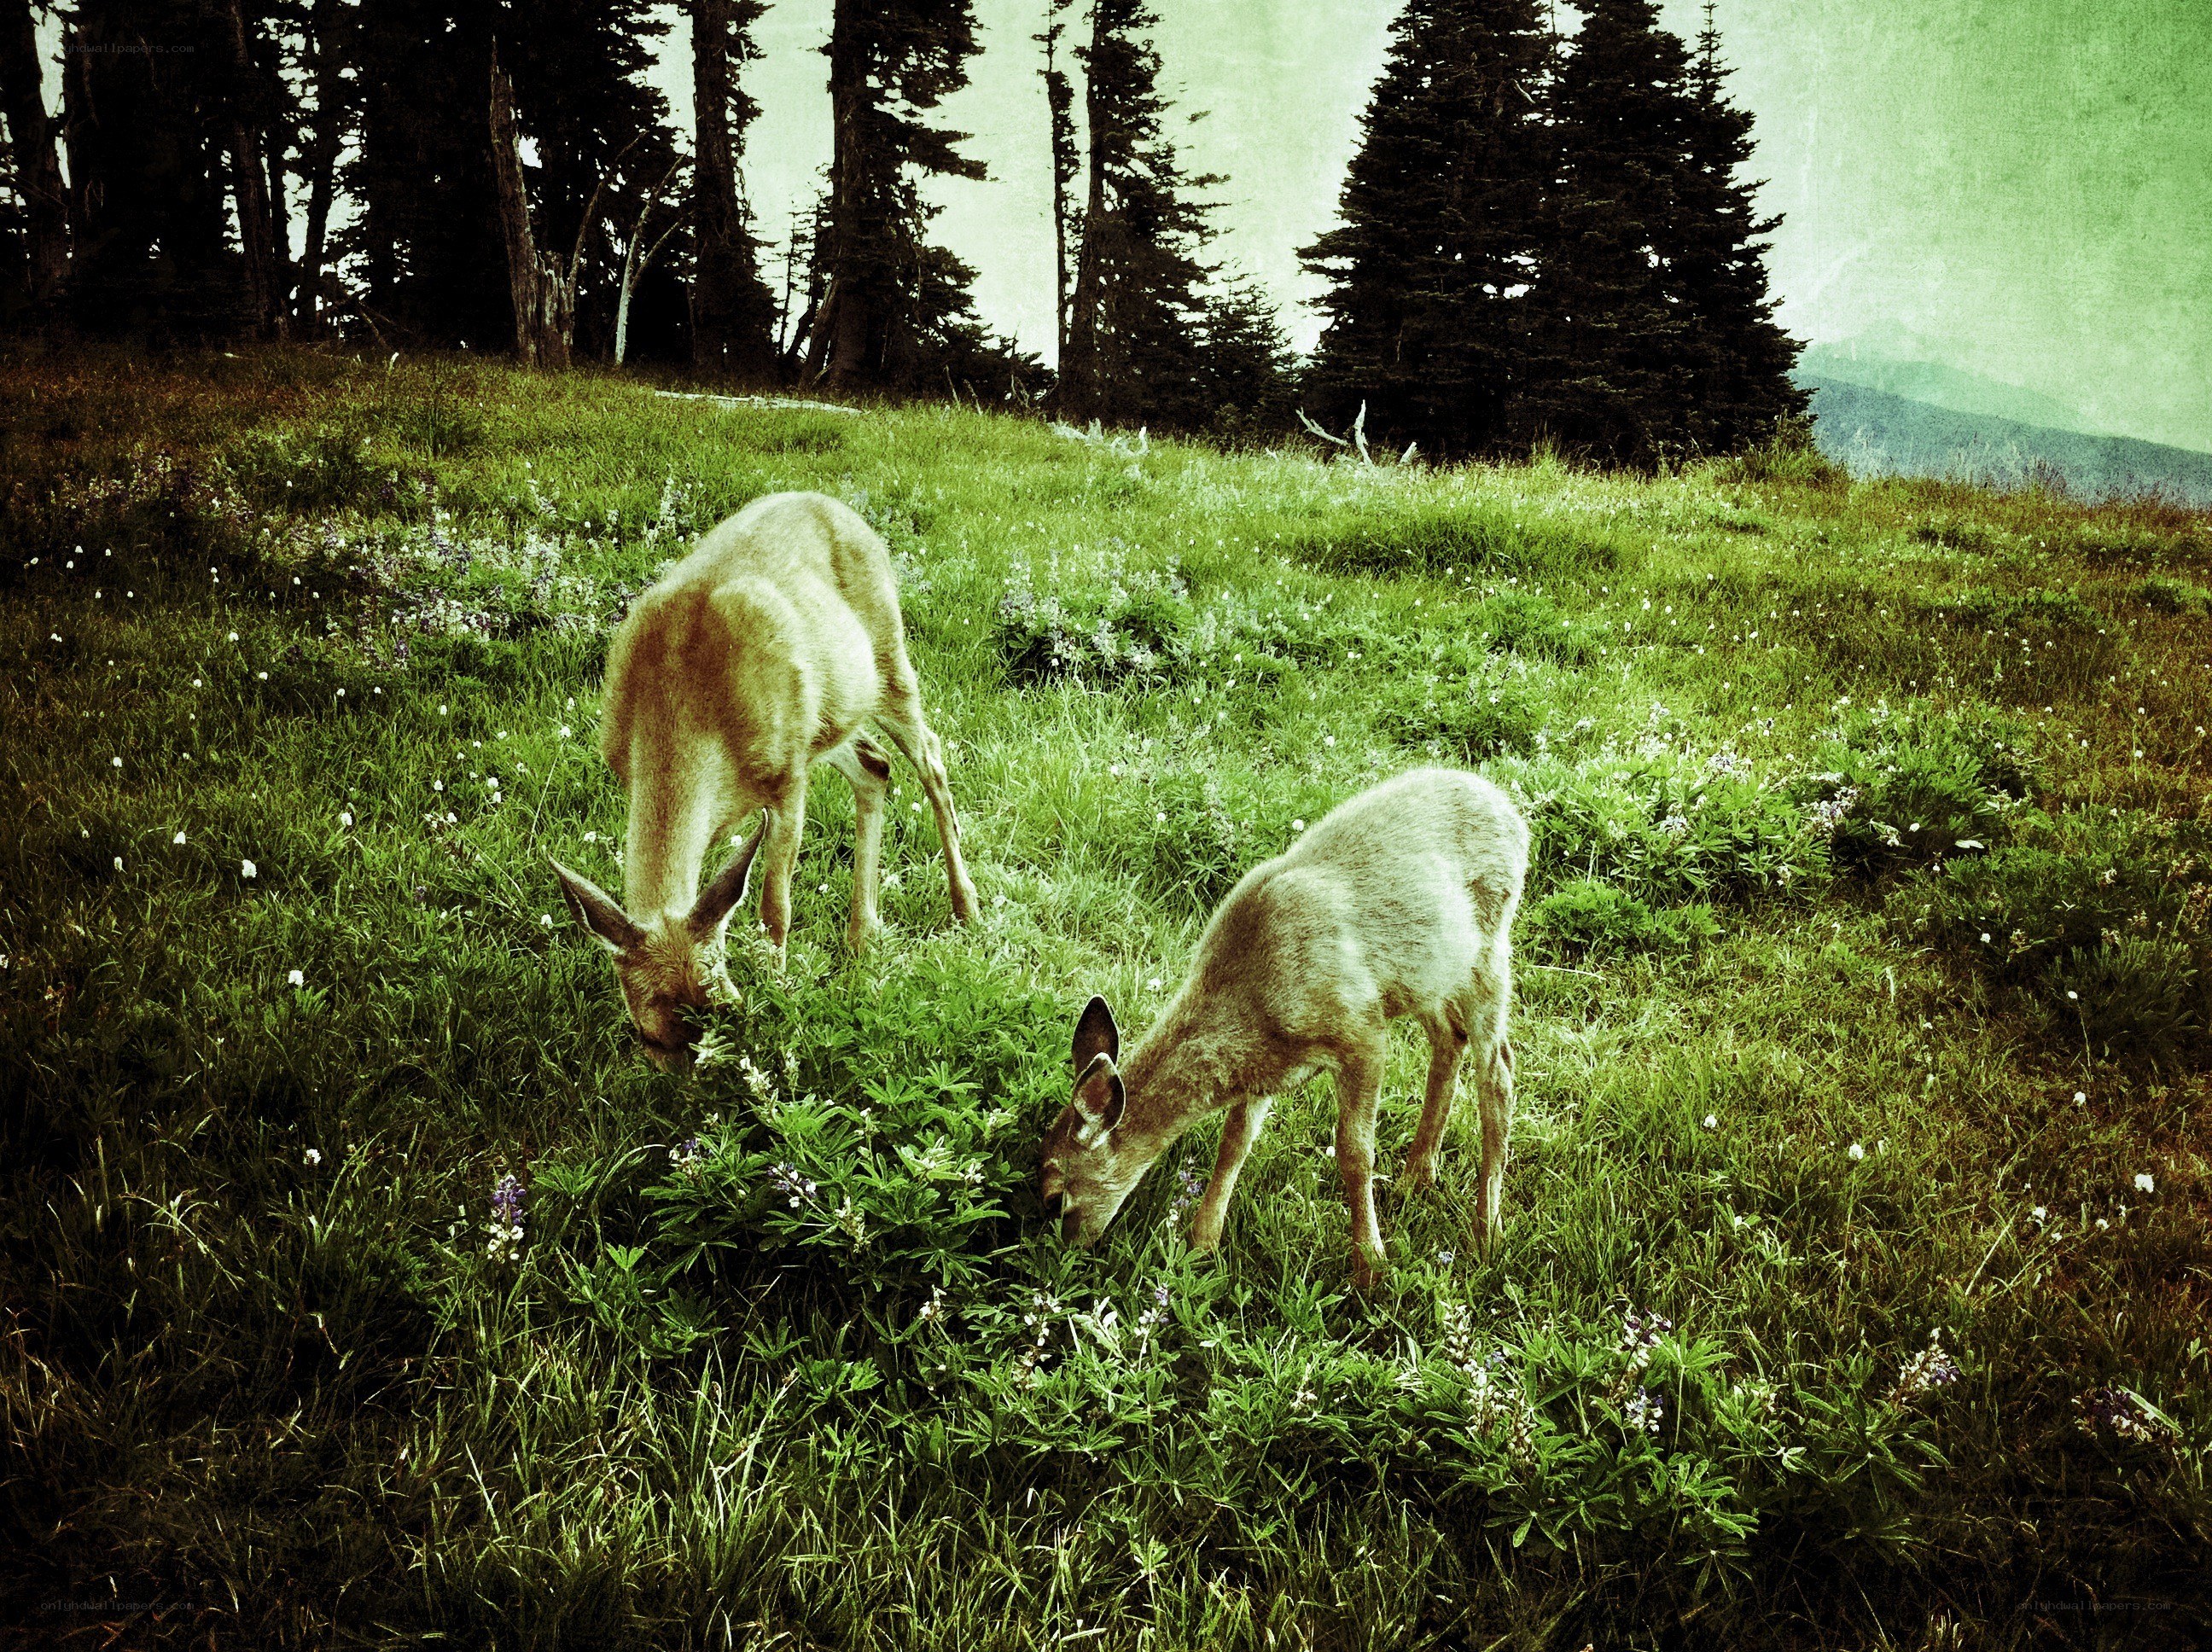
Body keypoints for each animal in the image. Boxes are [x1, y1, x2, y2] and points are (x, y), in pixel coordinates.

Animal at [552, 491, 980, 1068]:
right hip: (830, 715)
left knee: (930, 758)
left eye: (722, 1009)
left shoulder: (787, 778)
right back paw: (862, 938)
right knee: (875, 765)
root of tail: (839, 507)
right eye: (649, 1035)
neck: (682, 699)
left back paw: (966, 909)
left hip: (887, 661)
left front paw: (778, 996)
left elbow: (773, 907)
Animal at [1039, 767, 1528, 1292]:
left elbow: (1355, 1154)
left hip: (1488, 955)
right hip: (1432, 975)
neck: (1250, 1004)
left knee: (1498, 1072)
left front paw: (1370, 1268)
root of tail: (1513, 816)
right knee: (1449, 1040)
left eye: (1054, 1198)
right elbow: (1233, 1145)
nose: (1067, 1255)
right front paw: (1202, 1246)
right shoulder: (1265, 1074)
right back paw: (1417, 1177)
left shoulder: (1362, 1032)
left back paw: (1486, 1233)